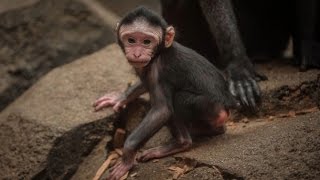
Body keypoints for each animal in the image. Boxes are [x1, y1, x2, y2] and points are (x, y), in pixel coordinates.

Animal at [92, 6, 235, 180]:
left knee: (178, 100)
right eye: (131, 40)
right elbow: (144, 84)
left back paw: (181, 142)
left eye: (147, 41)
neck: (159, 53)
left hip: (212, 110)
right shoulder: (147, 69)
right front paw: (120, 97)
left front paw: (126, 158)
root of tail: (227, 109)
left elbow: (162, 110)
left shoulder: (157, 69)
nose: (137, 53)